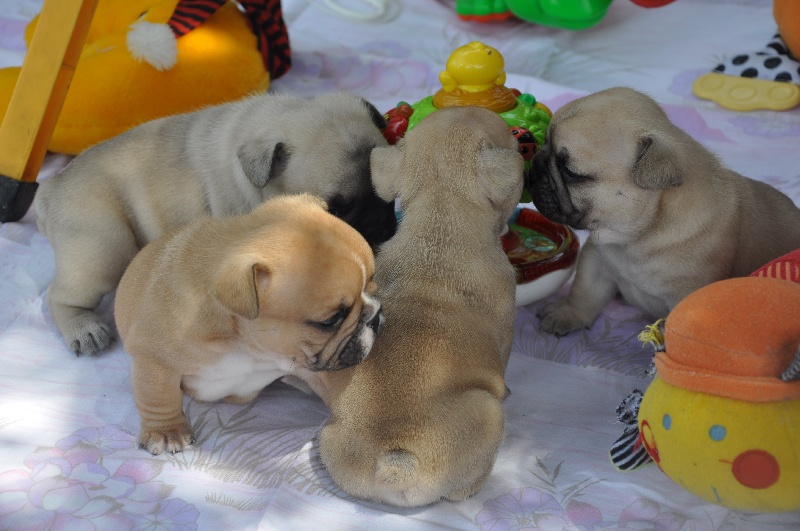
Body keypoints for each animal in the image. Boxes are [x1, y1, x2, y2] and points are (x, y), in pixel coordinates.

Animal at [34, 91, 396, 358]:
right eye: (337, 209)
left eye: (387, 195)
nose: (381, 226)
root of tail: (49, 189)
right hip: (103, 245)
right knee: (59, 295)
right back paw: (84, 329)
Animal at [115, 193, 384, 456]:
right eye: (330, 320)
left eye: (373, 282)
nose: (376, 315)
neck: (248, 347)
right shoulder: (153, 357)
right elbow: (158, 395)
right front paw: (166, 432)